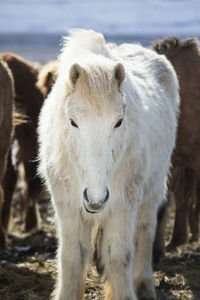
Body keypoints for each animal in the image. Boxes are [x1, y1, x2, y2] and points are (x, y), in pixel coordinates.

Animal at [37, 28, 180, 300]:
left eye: (118, 122)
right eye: (73, 121)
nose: (96, 198)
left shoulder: (123, 207)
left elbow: (119, 256)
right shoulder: (68, 208)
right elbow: (72, 258)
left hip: (152, 191)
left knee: (144, 233)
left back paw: (144, 286)